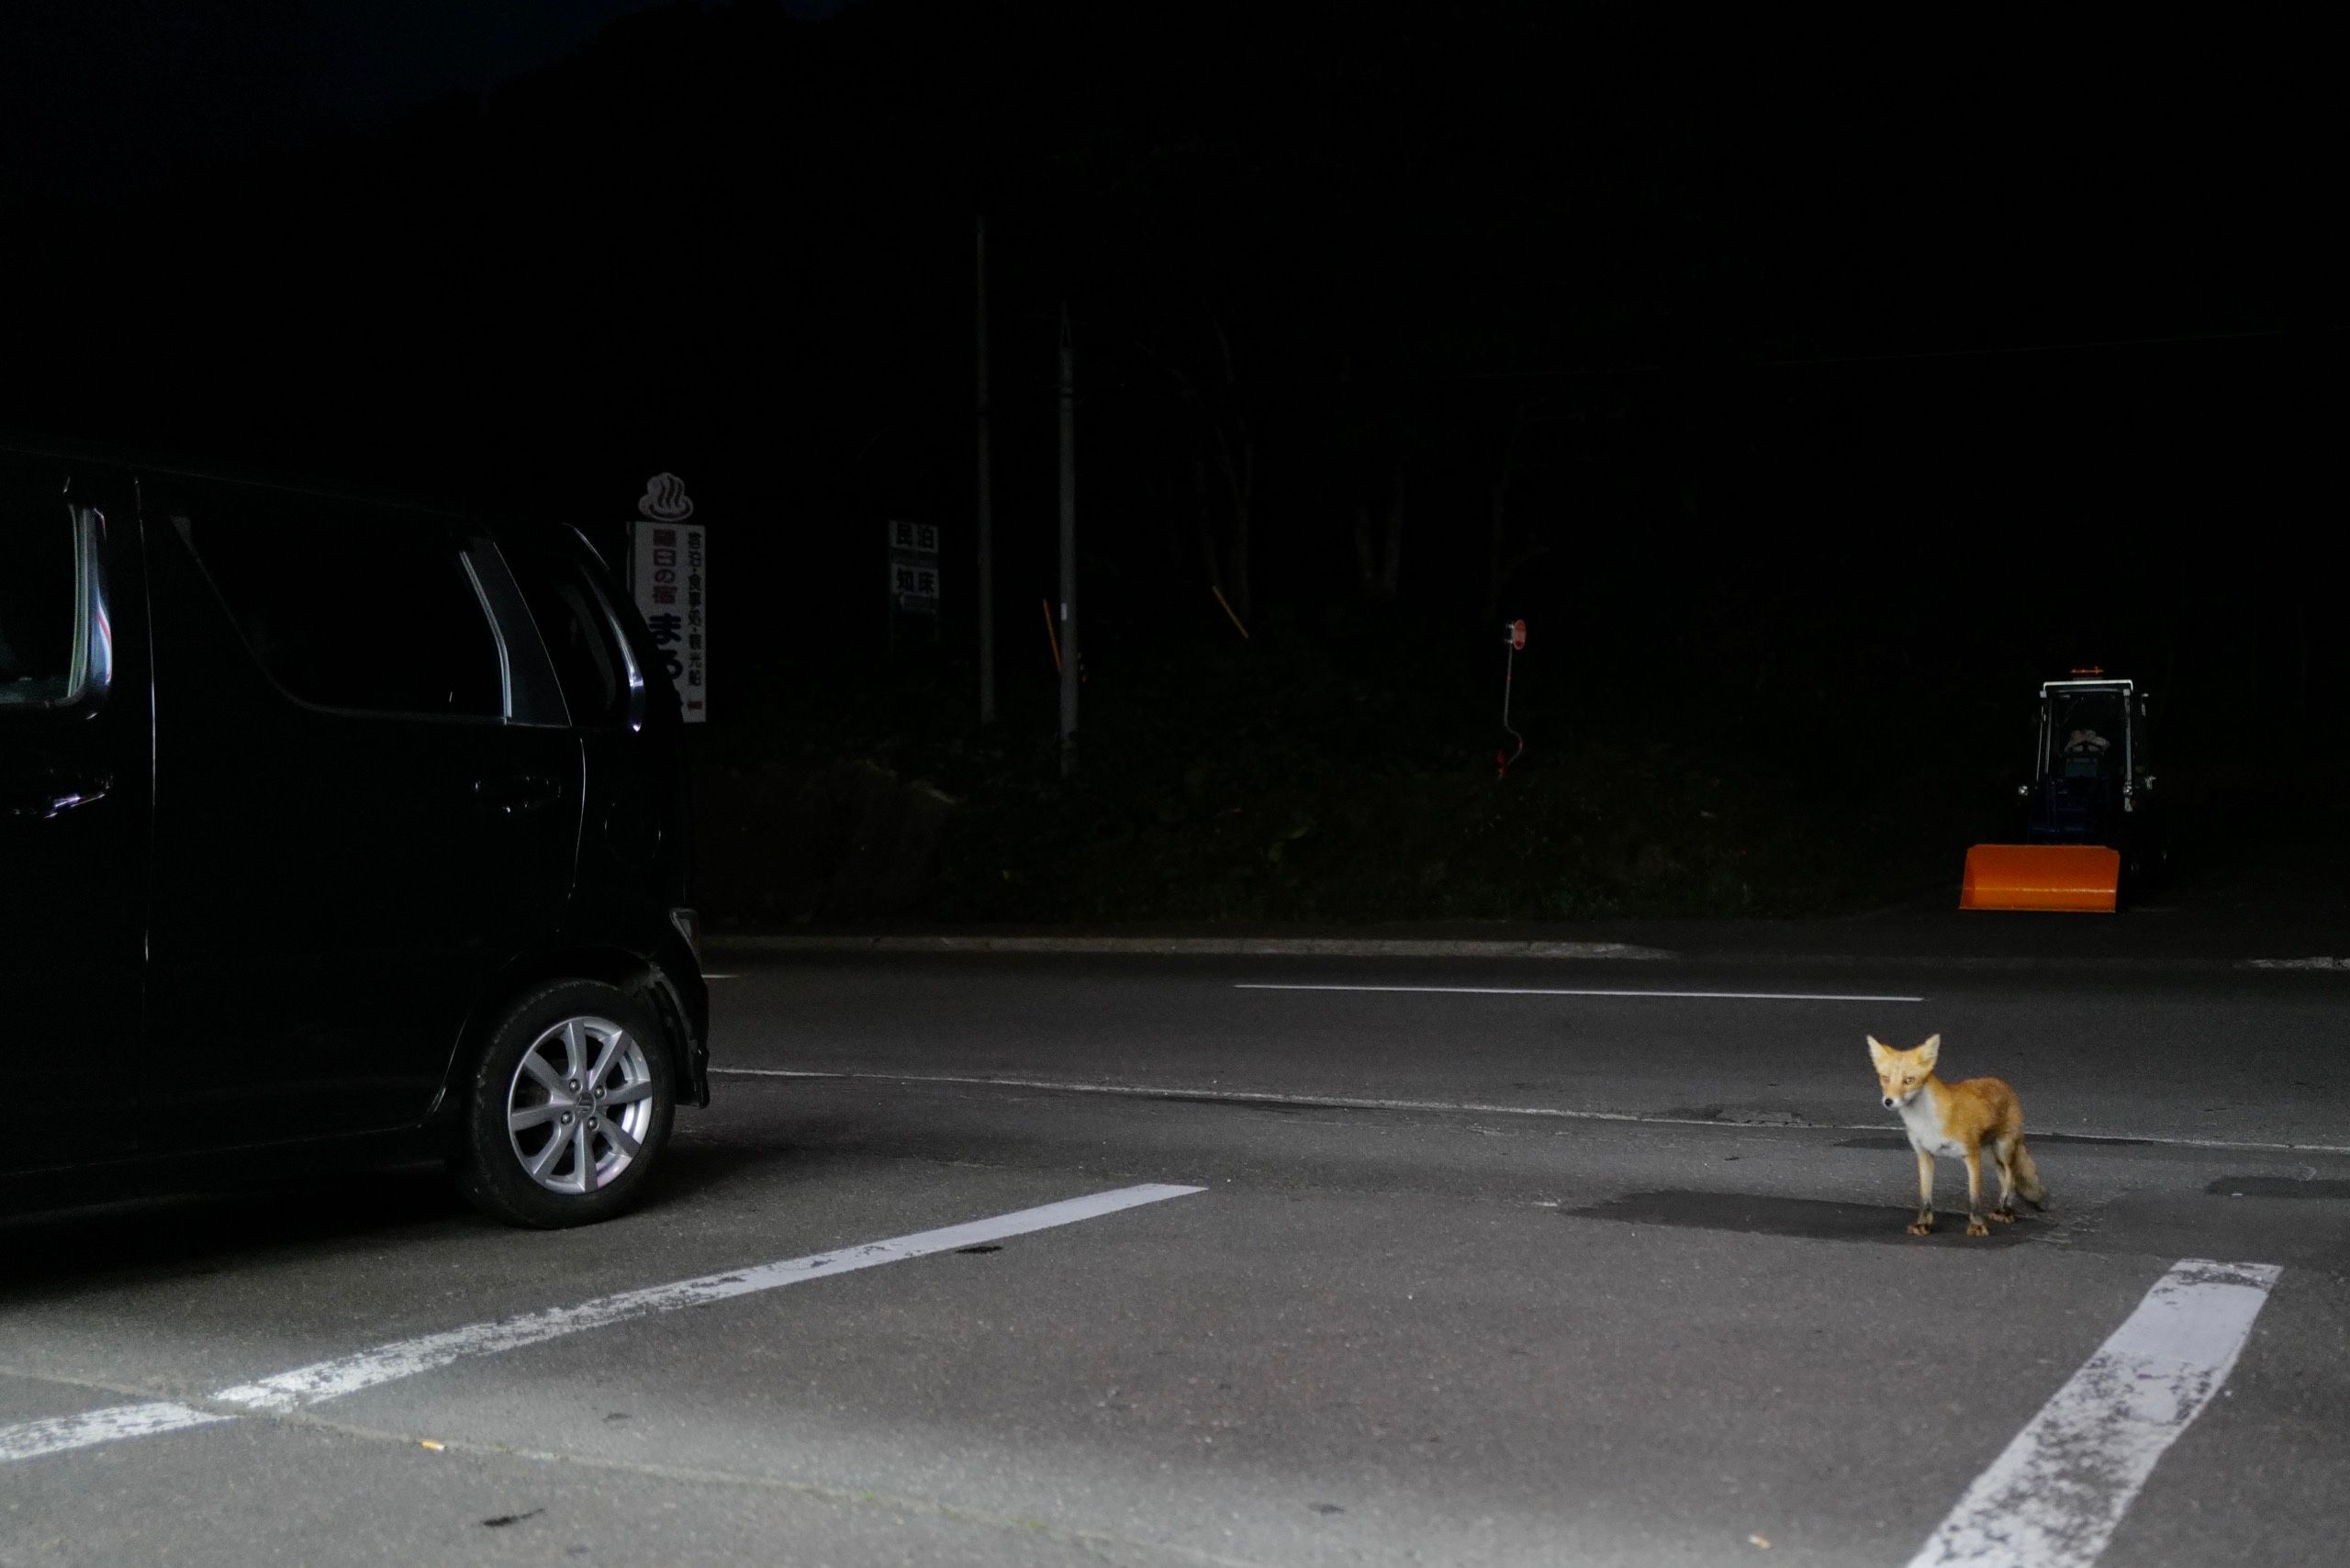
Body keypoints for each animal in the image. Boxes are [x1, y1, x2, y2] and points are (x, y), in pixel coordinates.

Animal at [1861, 1029, 2049, 1241]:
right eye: (1885, 1078)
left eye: (1908, 1080)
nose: (1888, 1101)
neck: (1926, 1121)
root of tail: (2003, 1083)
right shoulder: (1924, 1154)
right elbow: (1925, 1198)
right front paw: (1923, 1224)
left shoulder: (1971, 1155)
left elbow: (1974, 1198)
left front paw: (1977, 1225)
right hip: (1990, 1156)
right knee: (2005, 1177)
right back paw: (2002, 1207)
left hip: (2003, 1149)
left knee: (2012, 1176)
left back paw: (2006, 1211)